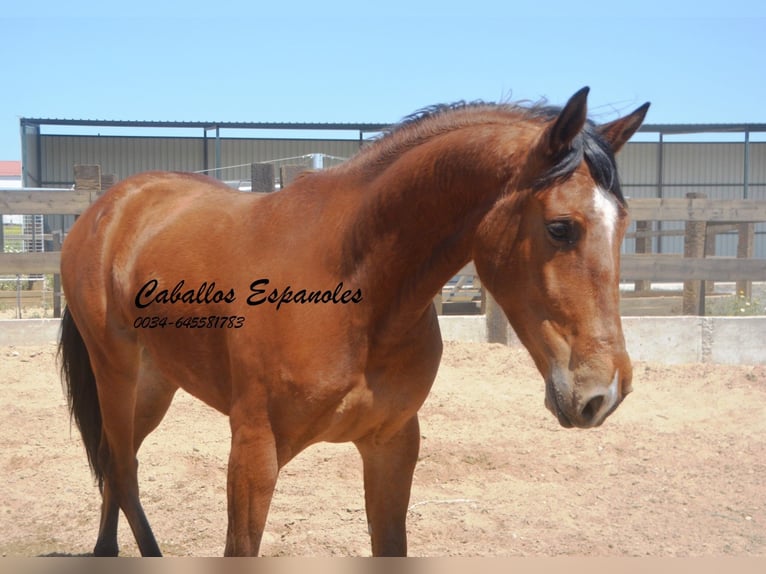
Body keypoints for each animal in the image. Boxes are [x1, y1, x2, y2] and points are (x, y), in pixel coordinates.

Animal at [57, 86, 652, 560]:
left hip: (156, 382)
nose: (604, 392)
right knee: (122, 467)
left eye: (624, 225)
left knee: (116, 459)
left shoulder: (392, 445)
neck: (357, 291)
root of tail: (109, 207)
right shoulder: (254, 453)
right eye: (560, 228)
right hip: (116, 372)